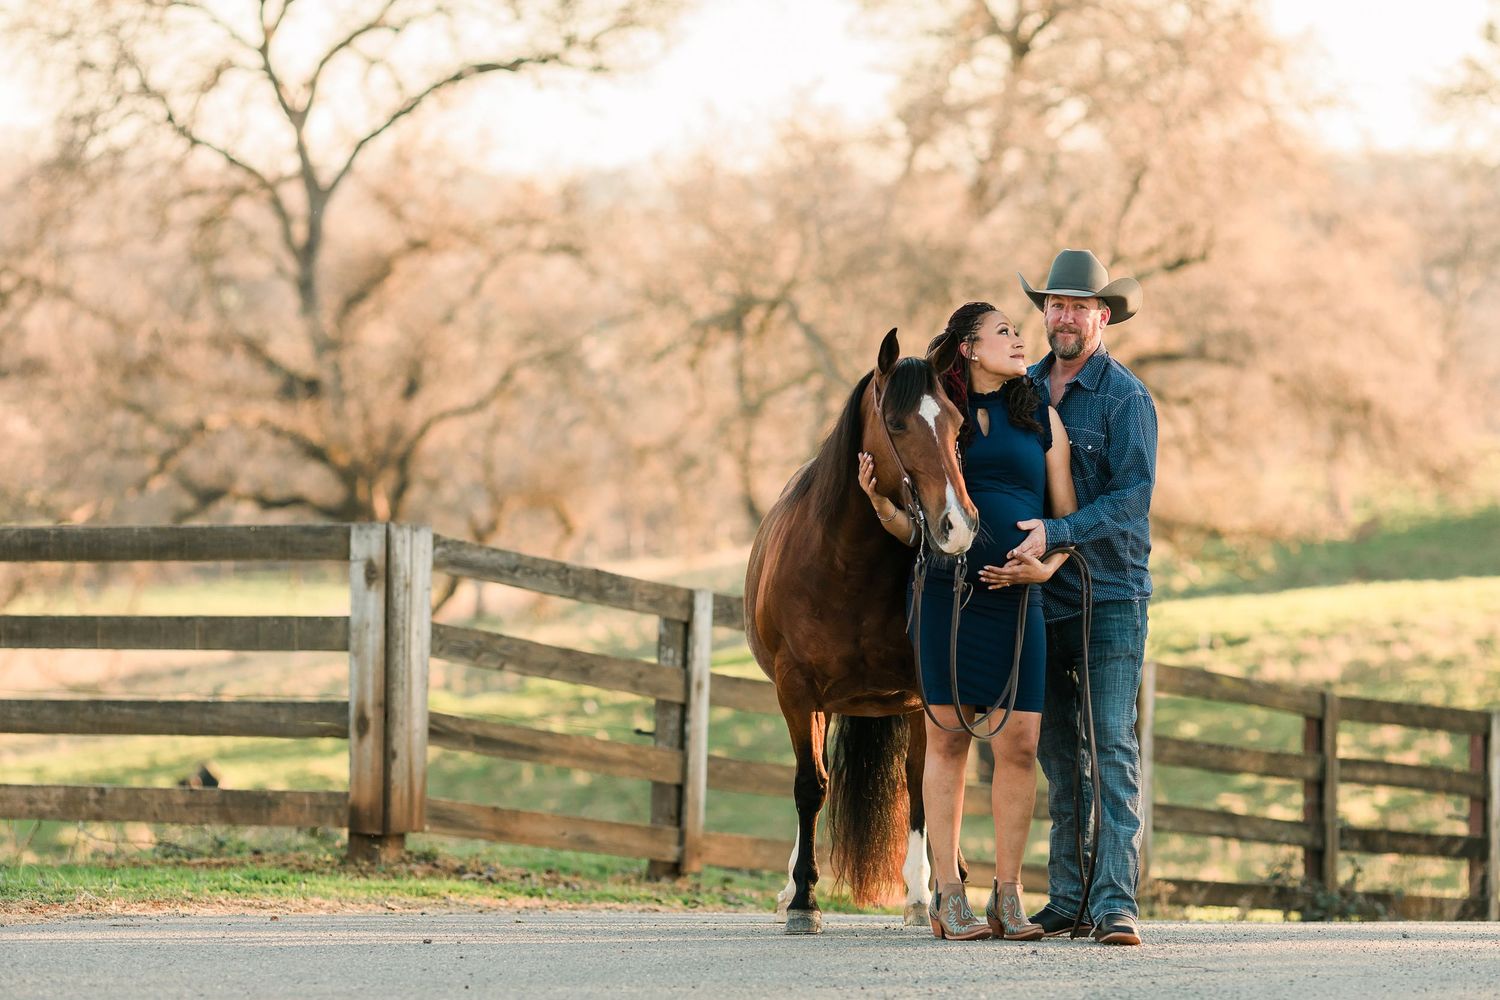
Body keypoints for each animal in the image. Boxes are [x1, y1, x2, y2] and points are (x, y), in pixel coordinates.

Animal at [744, 328, 980, 934]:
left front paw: (928, 895)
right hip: (817, 705)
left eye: (957, 422)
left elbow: (925, 786)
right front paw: (803, 899)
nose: (958, 525)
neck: (845, 564)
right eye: (896, 423)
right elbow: (810, 786)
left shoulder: (925, 693)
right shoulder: (797, 690)